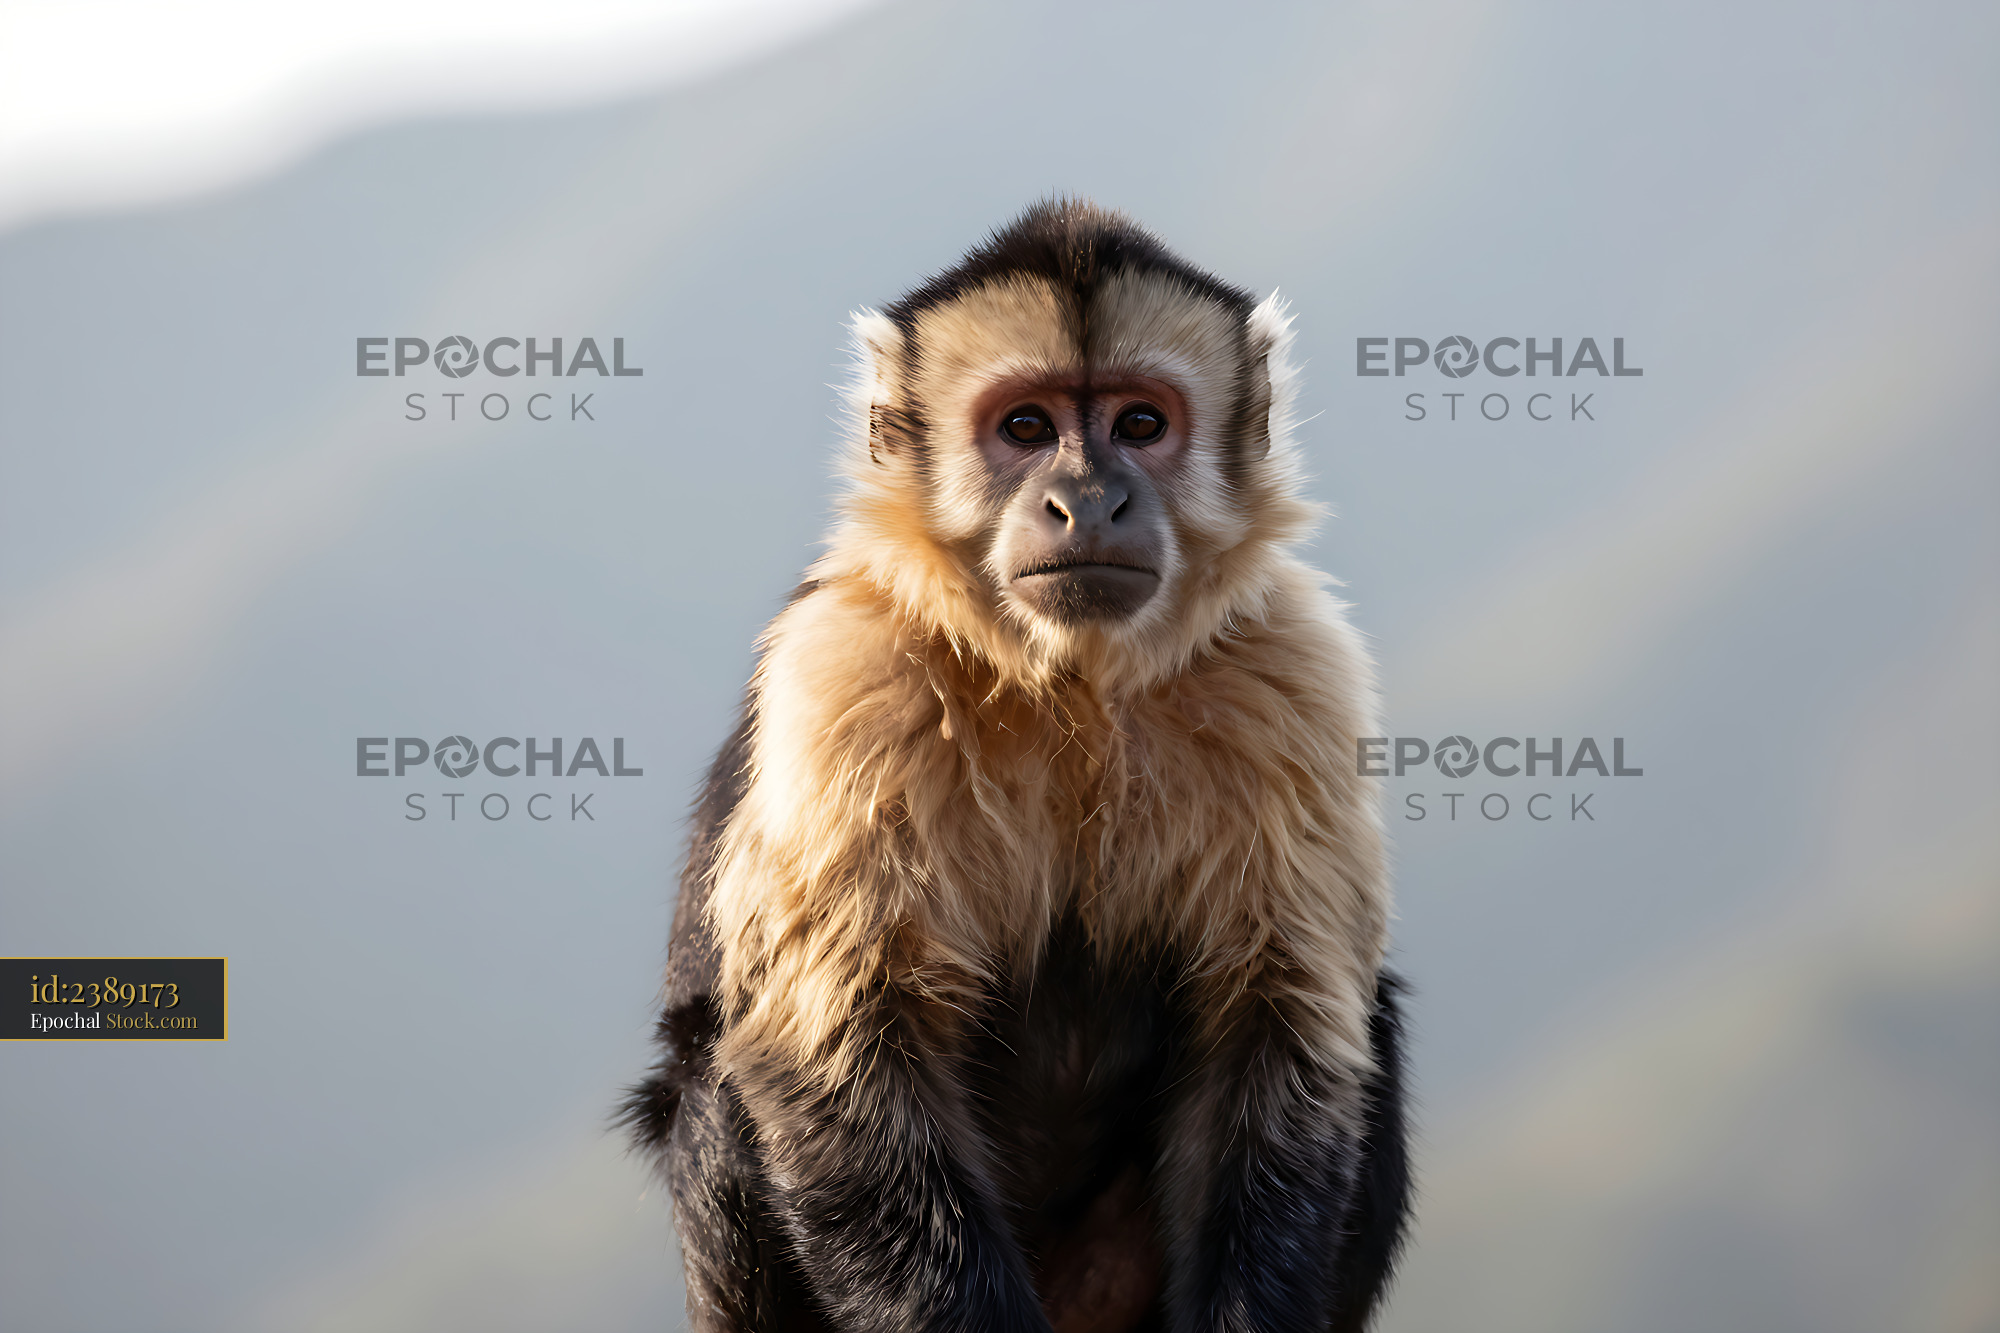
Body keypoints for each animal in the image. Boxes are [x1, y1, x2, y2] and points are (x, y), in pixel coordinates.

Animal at [622, 199, 1409, 1333]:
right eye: (1027, 428)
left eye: (1139, 424)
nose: (1088, 499)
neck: (1072, 679)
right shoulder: (843, 662)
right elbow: (837, 1050)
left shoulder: (1292, 662)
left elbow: (1273, 1025)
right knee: (710, 1066)